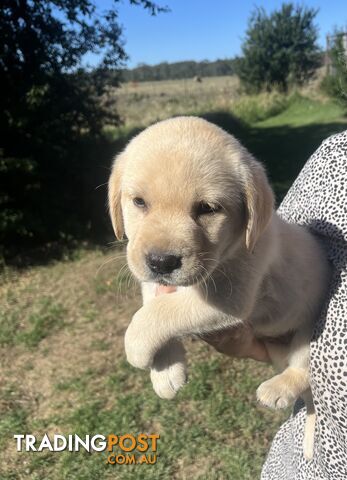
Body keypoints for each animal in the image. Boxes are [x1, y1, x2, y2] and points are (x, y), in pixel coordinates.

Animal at [109, 117, 332, 462]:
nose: (161, 262)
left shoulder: (228, 297)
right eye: (139, 202)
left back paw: (277, 390)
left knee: (304, 372)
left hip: (311, 332)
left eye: (208, 208)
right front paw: (165, 371)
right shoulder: (153, 279)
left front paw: (137, 346)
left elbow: (159, 313)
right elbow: (153, 305)